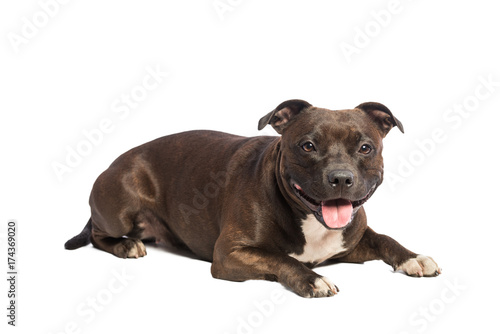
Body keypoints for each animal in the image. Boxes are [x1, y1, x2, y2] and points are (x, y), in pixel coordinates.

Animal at [65, 99, 442, 298]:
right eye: (308, 145)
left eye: (365, 147)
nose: (340, 178)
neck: (310, 220)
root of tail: (115, 160)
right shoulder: (230, 253)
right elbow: (280, 259)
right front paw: (312, 279)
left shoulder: (352, 241)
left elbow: (385, 239)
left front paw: (413, 258)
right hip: (121, 204)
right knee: (98, 233)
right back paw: (126, 245)